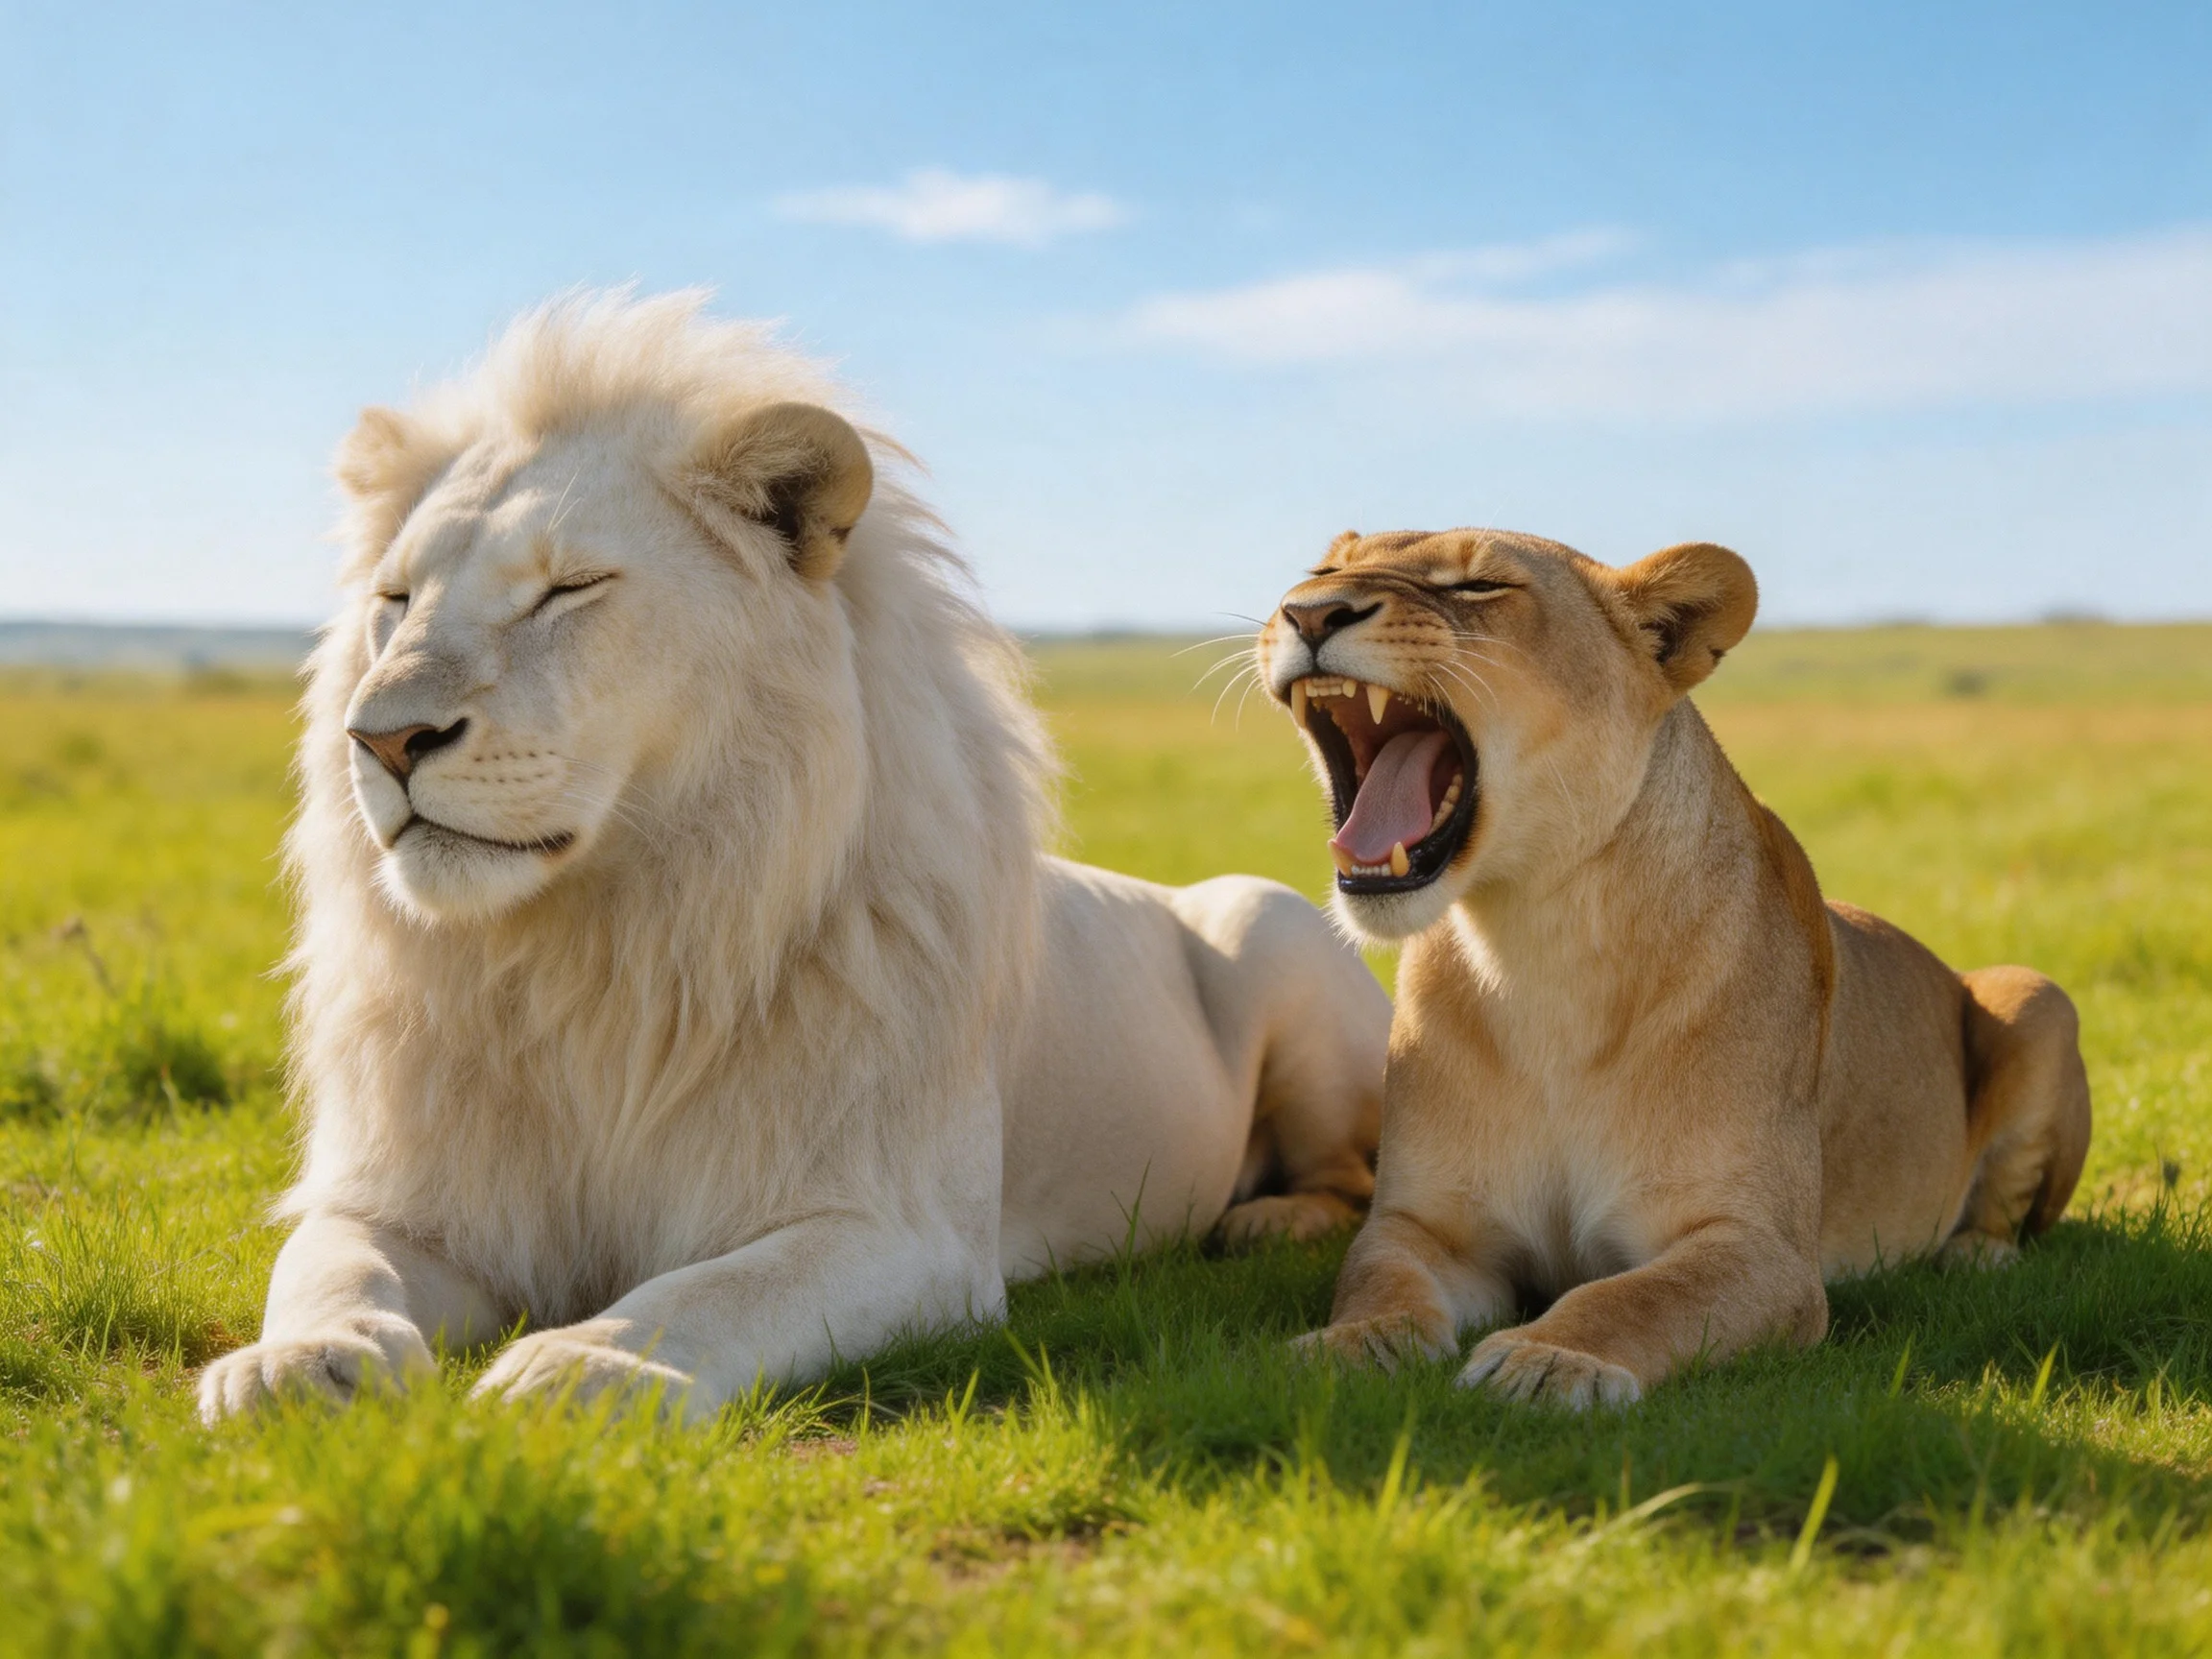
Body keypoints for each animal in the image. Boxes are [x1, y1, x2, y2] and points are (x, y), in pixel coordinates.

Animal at [197, 291, 1388, 1424]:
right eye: (395, 600)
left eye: (568, 589)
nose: (382, 738)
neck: (596, 952)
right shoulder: (409, 1202)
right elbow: (330, 1270)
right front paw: (294, 1365)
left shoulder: (904, 1233)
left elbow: (704, 1293)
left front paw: (580, 1369)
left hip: (1277, 929)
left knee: (1350, 1173)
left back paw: (1266, 1221)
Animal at [1258, 528, 2091, 1409]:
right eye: (1324, 572)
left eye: (1480, 585)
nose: (1310, 612)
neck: (1535, 946)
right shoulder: (1429, 1227)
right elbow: (1377, 1275)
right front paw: (1355, 1344)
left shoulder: (1766, 1252)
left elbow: (1635, 1294)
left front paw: (1549, 1362)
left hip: (2038, 995)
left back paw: (1975, 1255)